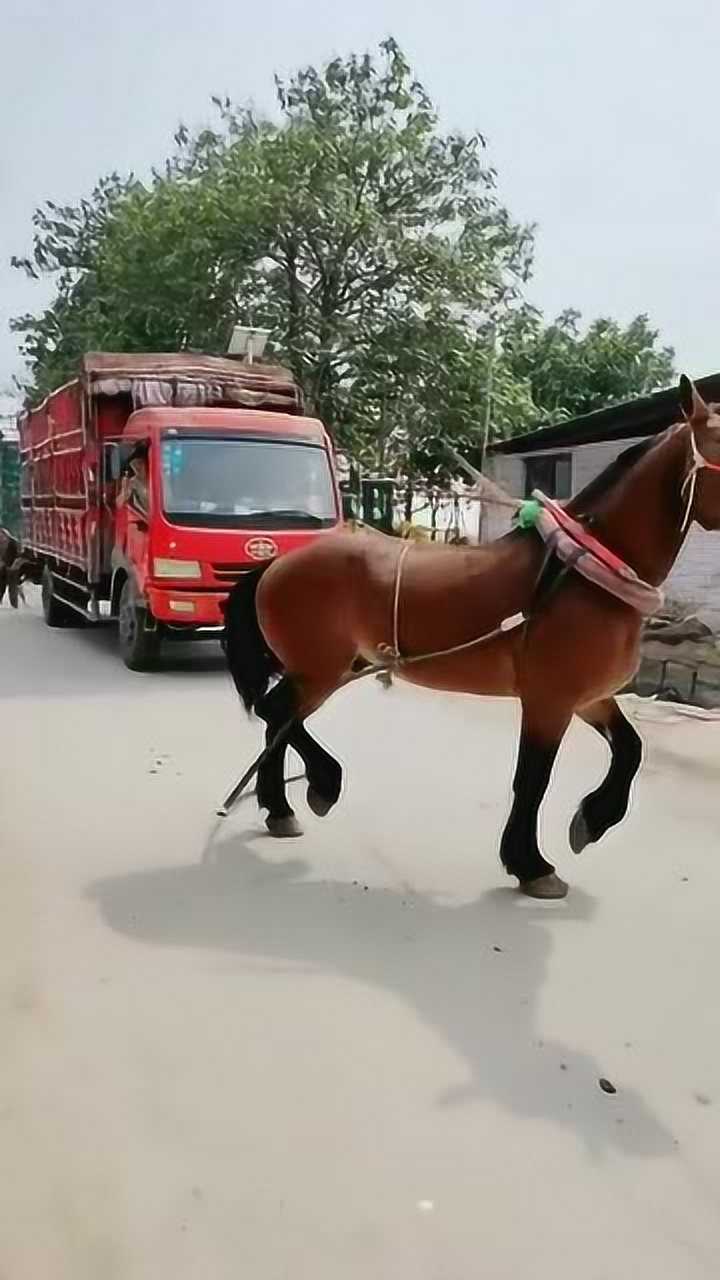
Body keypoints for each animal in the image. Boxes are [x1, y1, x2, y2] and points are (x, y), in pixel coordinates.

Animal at [223, 375, 720, 899]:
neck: (583, 574)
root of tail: (275, 565)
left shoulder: (589, 697)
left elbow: (630, 751)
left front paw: (592, 820)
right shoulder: (549, 701)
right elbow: (533, 781)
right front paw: (530, 864)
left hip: (323, 669)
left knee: (278, 721)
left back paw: (281, 810)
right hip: (319, 669)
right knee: (276, 713)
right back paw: (322, 783)